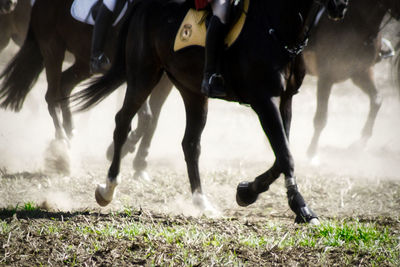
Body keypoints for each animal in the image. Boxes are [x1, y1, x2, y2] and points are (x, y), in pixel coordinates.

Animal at [73, 0, 348, 223]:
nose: (340, 6)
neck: (278, 28)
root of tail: (143, 5)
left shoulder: (286, 100)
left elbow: (281, 155)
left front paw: (246, 191)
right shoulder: (263, 100)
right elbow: (285, 156)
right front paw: (300, 206)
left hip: (192, 92)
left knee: (190, 144)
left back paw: (201, 202)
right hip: (143, 75)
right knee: (123, 122)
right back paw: (108, 189)